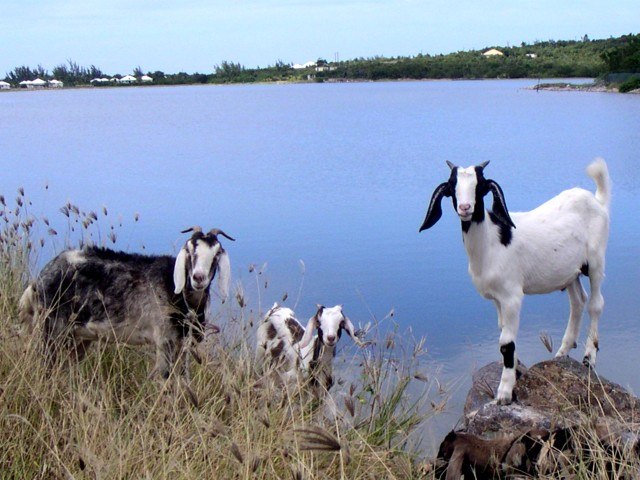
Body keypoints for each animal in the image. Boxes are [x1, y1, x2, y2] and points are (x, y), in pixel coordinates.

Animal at [19, 227, 235, 380]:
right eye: (189, 251)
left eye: (217, 254)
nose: (198, 278)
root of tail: (38, 282)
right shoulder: (164, 338)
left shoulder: (181, 344)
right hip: (52, 328)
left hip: (78, 336)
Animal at [420, 159, 608, 404]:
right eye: (452, 186)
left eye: (480, 186)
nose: (465, 208)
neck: (491, 242)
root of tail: (598, 201)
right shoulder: (497, 299)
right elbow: (503, 334)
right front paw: (516, 372)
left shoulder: (511, 296)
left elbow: (506, 343)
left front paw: (504, 393)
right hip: (570, 272)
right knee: (578, 301)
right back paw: (562, 352)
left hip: (596, 260)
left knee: (595, 303)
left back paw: (588, 358)